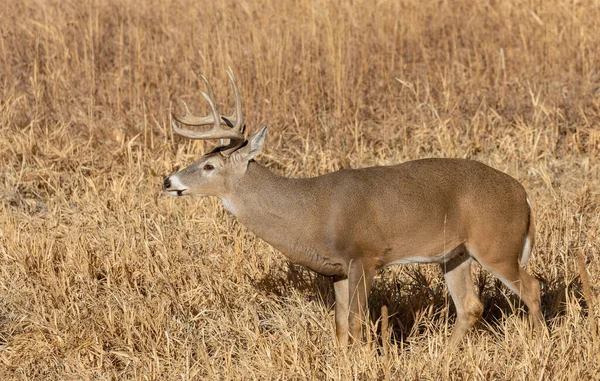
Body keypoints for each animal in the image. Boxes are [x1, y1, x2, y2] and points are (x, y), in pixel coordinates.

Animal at [163, 70, 544, 346]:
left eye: (209, 166)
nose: (168, 181)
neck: (310, 212)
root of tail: (523, 194)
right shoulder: (338, 269)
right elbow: (340, 324)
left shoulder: (364, 254)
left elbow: (358, 321)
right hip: (456, 253)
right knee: (470, 306)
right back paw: (448, 356)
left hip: (496, 245)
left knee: (532, 287)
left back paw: (538, 344)